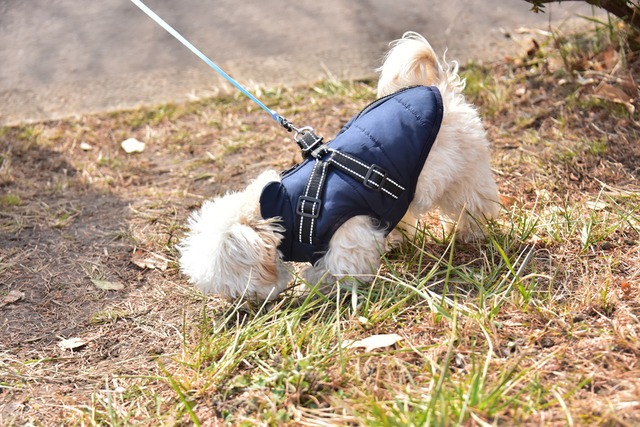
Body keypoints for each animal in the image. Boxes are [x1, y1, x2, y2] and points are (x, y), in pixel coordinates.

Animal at [178, 32, 500, 301]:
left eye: (232, 281)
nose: (239, 303)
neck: (286, 206)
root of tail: (439, 87)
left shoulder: (348, 232)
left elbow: (338, 265)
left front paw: (322, 287)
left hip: (461, 172)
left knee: (473, 202)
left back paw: (470, 231)